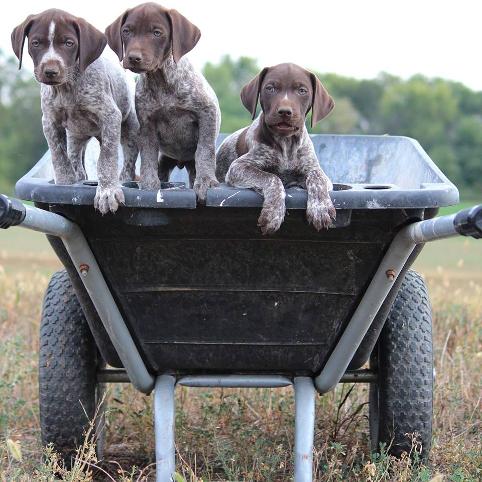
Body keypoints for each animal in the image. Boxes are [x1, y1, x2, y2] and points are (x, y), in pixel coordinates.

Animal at [10, 7, 139, 214]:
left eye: (69, 43)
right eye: (36, 43)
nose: (50, 71)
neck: (67, 88)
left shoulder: (110, 116)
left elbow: (107, 158)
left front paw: (108, 192)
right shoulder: (50, 122)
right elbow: (59, 157)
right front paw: (64, 186)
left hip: (130, 129)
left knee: (128, 163)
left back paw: (124, 179)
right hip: (74, 138)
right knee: (75, 160)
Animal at [105, 2, 220, 201]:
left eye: (157, 33)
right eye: (126, 31)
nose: (133, 57)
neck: (162, 80)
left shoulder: (207, 112)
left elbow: (205, 150)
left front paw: (206, 181)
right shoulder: (147, 124)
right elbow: (148, 157)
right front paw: (149, 185)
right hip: (165, 162)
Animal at [217, 63, 338, 236]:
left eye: (302, 90)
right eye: (270, 88)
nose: (285, 111)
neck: (285, 143)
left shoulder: (317, 171)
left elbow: (317, 178)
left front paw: (321, 209)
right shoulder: (238, 168)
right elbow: (273, 178)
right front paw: (274, 213)